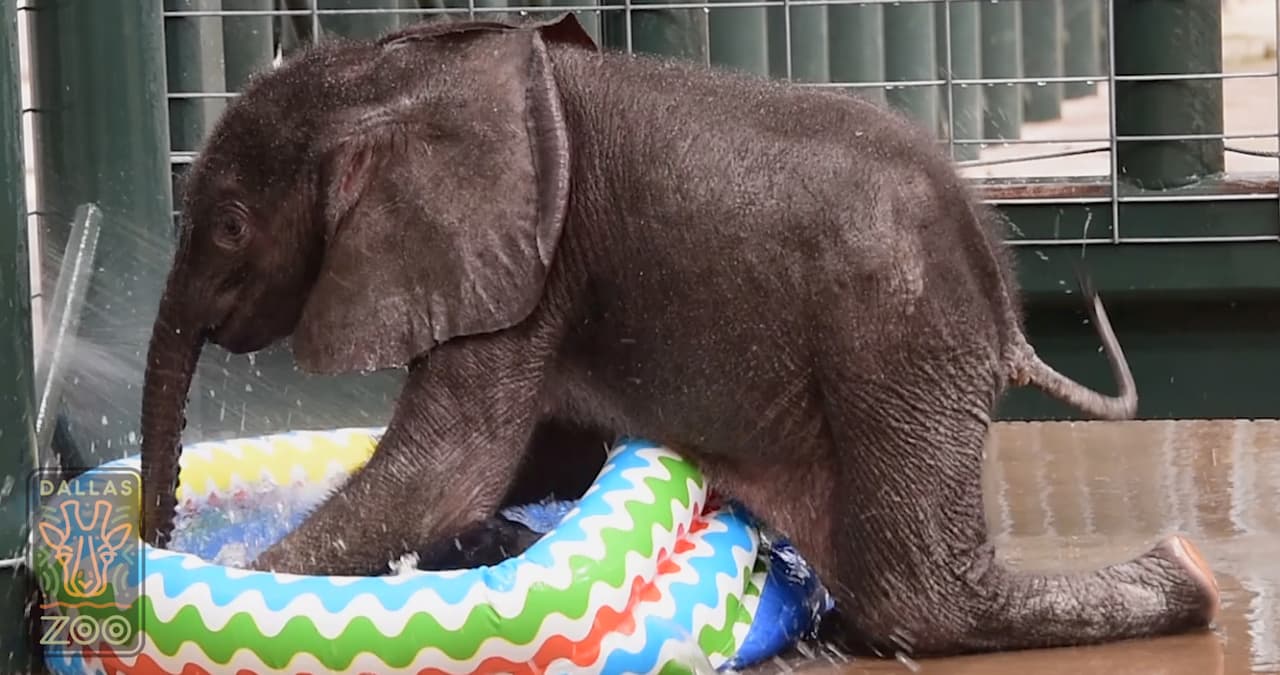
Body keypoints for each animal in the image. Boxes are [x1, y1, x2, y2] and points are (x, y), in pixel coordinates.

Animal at [137, 13, 1219, 658]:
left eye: (227, 224)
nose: (151, 539)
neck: (405, 72)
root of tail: (1002, 317)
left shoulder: (529, 260)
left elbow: (446, 472)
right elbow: (538, 459)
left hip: (896, 341)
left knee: (919, 594)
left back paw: (1187, 574)